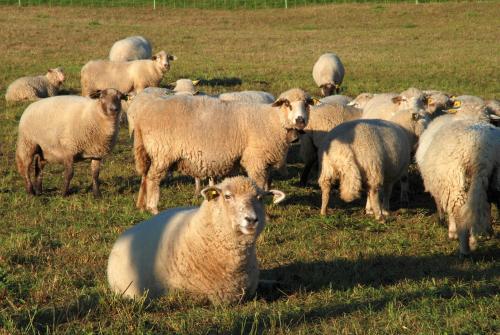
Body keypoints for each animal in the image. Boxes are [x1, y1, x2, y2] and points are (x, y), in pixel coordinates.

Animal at [106, 177, 286, 306]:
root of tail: (123, 236)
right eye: (227, 196)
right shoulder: (189, 294)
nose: (251, 219)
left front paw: (273, 282)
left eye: (260, 198)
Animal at [131, 88, 314, 214]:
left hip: (151, 152)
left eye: (306, 104)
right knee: (153, 178)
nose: (300, 120)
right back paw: (153, 207)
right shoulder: (256, 158)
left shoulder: (264, 161)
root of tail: (142, 116)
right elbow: (259, 184)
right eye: (287, 104)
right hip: (163, 151)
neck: (272, 120)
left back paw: (141, 205)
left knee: (145, 176)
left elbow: (266, 183)